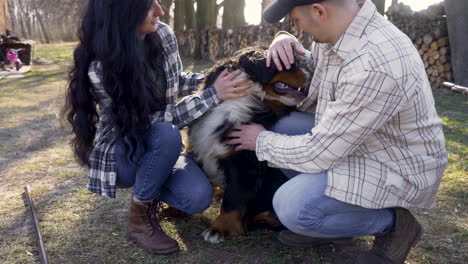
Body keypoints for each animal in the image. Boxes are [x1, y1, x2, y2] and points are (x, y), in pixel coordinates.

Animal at [186, 46, 310, 243]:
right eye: (290, 63)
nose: (311, 72)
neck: (244, 99)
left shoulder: (242, 161)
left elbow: (233, 198)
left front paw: (220, 229)